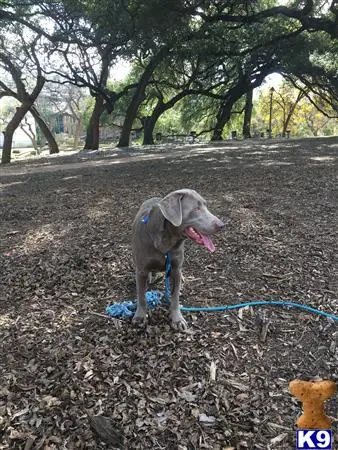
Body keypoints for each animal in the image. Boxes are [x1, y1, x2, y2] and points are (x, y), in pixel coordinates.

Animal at [132, 187, 224, 330]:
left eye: (206, 206)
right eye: (196, 209)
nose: (222, 225)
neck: (167, 242)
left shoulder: (175, 268)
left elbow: (175, 297)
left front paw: (177, 319)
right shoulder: (141, 269)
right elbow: (141, 296)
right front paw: (140, 317)